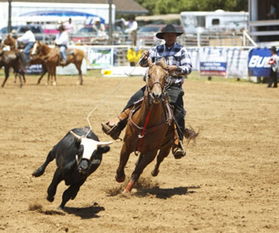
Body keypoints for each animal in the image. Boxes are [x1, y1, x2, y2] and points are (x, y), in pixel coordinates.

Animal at [115, 58, 176, 193]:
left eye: (165, 77)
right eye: (149, 75)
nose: (156, 95)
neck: (146, 123)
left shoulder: (151, 152)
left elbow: (137, 171)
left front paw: (127, 190)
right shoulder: (127, 144)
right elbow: (122, 162)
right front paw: (119, 177)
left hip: (166, 147)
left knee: (159, 159)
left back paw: (154, 171)